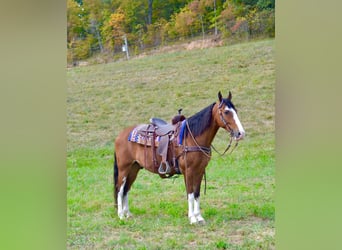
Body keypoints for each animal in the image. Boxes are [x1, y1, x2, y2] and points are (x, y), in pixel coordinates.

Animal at [113, 91, 244, 224]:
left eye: (236, 110)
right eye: (226, 112)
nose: (241, 133)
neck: (192, 138)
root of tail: (121, 135)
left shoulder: (200, 170)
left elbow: (197, 193)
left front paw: (199, 217)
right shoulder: (188, 170)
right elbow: (190, 194)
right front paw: (192, 218)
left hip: (134, 168)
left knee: (126, 189)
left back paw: (128, 213)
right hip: (124, 168)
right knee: (120, 189)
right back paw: (121, 215)